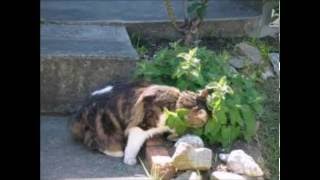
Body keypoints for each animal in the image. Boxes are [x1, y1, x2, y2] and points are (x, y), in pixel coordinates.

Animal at [70, 81, 210, 165]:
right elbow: (133, 146)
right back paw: (115, 151)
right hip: (106, 125)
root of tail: (82, 108)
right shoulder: (141, 127)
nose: (205, 124)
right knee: (95, 141)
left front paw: (174, 135)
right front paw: (129, 159)